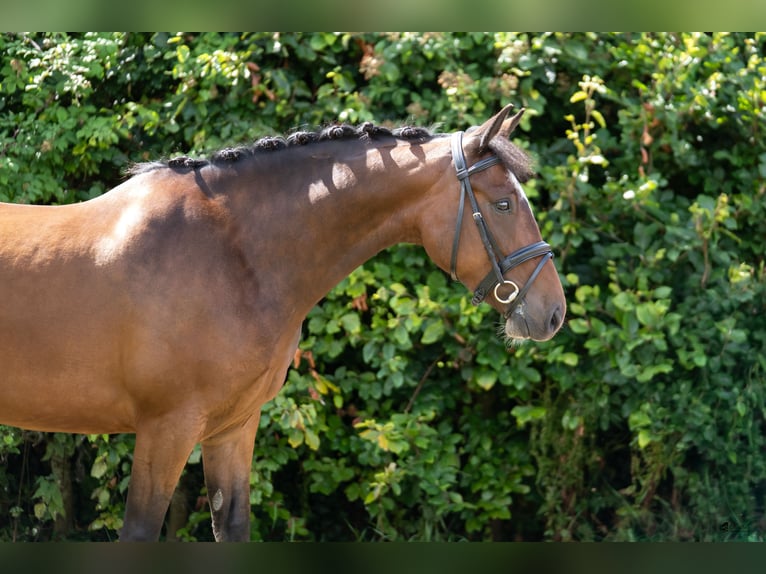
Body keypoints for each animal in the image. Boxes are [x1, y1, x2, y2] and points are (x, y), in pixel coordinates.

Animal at [0, 104, 565, 541]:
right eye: (503, 203)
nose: (554, 311)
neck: (232, 254)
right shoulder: (166, 430)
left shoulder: (232, 428)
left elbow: (232, 527)